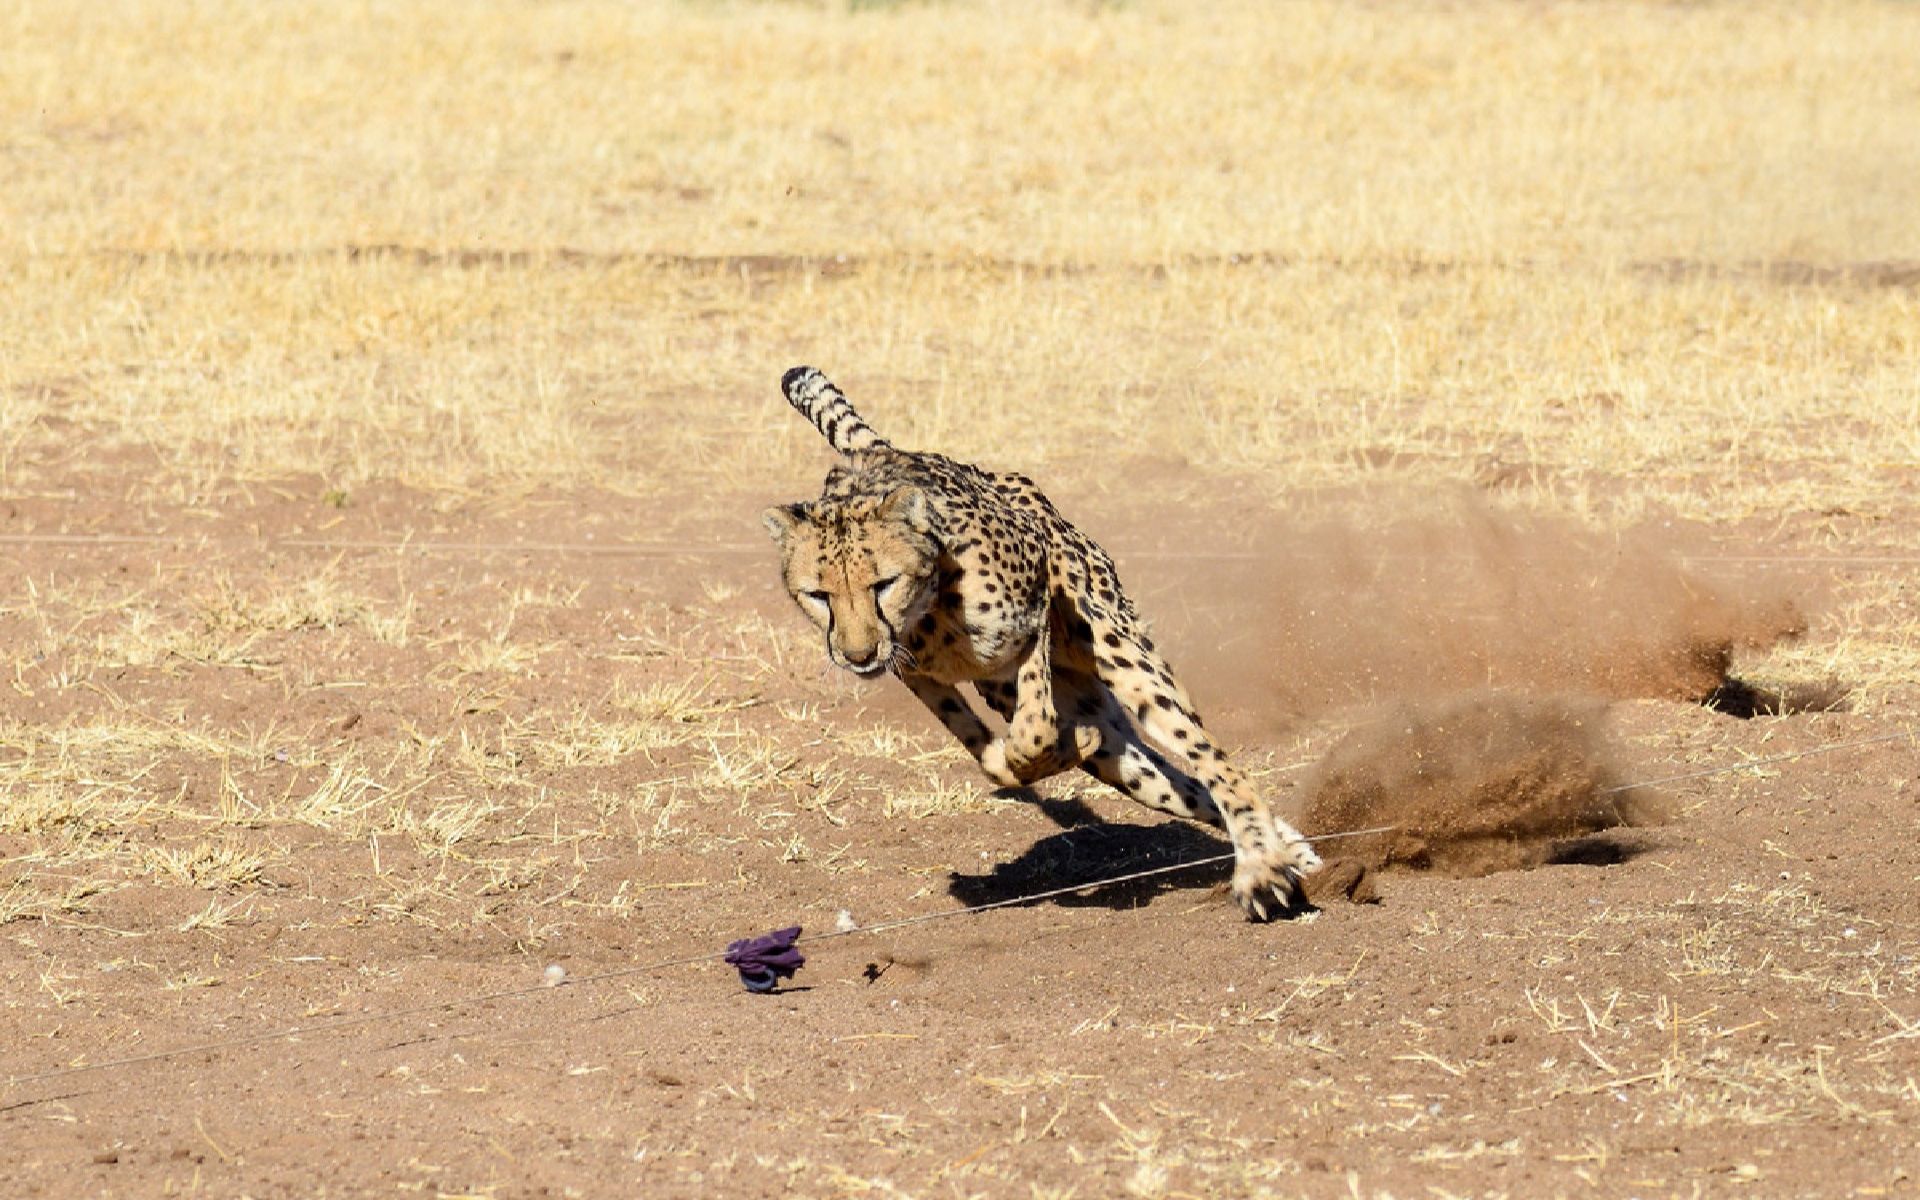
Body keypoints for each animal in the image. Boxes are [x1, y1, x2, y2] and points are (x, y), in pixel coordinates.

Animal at [764, 364, 1320, 917]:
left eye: (883, 583)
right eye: (818, 595)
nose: (857, 654)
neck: (928, 616)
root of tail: (887, 453)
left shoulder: (1033, 611)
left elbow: (1034, 724)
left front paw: (1047, 744)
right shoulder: (918, 674)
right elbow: (997, 760)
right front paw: (1046, 752)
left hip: (1121, 651)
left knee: (1215, 764)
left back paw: (1260, 865)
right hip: (1111, 744)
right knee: (1176, 783)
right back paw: (1290, 848)